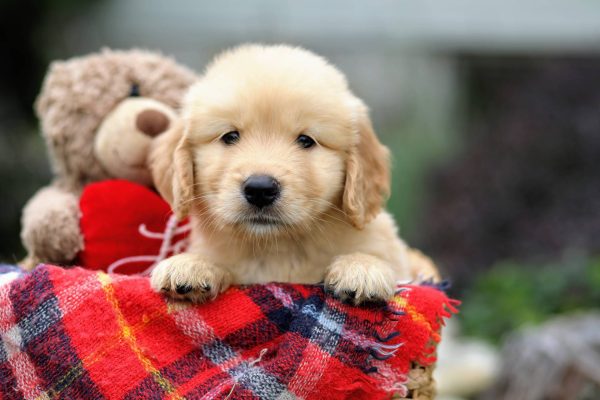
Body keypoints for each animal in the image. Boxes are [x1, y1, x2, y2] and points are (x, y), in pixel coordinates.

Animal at [150, 43, 418, 304]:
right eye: (230, 136)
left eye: (306, 140)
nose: (260, 189)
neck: (276, 249)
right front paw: (191, 265)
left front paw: (362, 268)